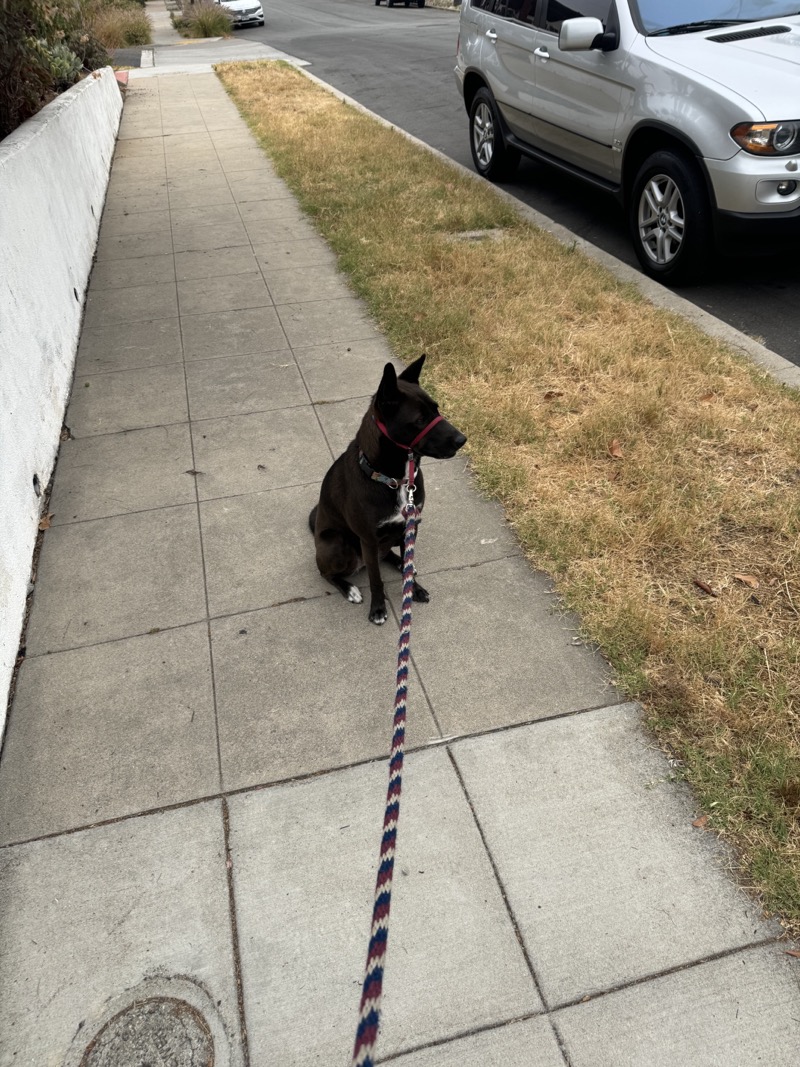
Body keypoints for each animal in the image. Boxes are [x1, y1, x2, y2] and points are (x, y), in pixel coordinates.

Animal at [309, 356, 467, 623]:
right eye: (420, 420)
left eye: (437, 409)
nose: (462, 439)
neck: (395, 480)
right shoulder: (369, 540)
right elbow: (376, 580)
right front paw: (378, 608)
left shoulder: (410, 527)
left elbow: (408, 566)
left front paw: (414, 588)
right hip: (337, 544)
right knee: (326, 573)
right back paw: (349, 589)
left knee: (394, 557)